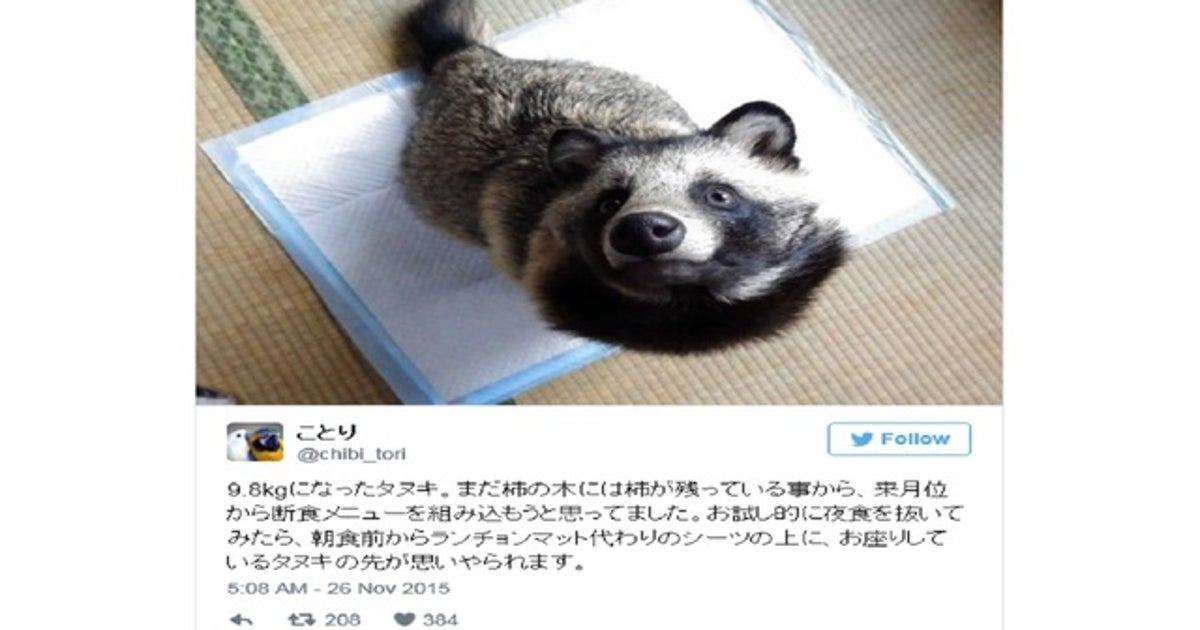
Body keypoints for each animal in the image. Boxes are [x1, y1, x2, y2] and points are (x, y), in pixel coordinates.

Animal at [401, 0, 847, 353]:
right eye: (610, 202)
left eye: (718, 195)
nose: (642, 229)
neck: (688, 299)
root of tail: (467, 59)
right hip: (433, 181)